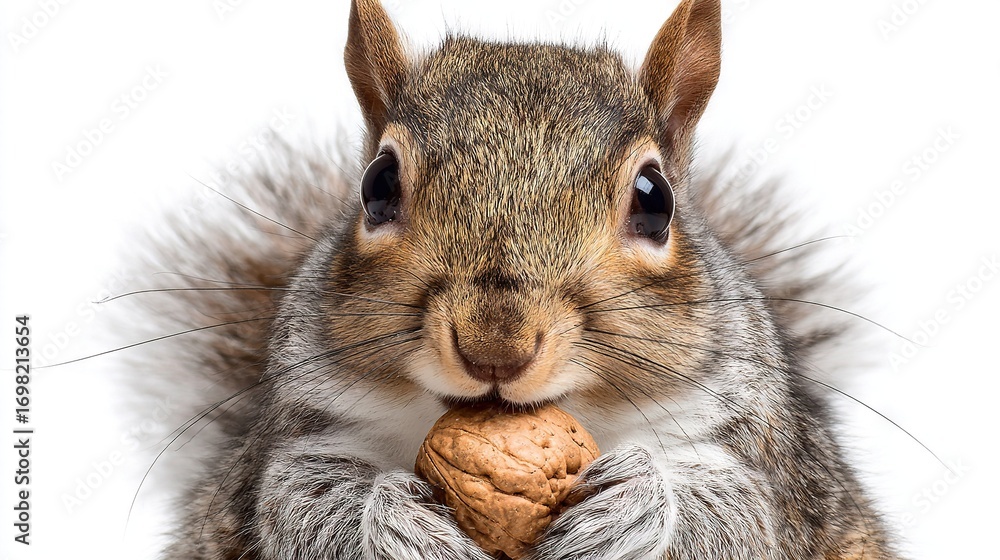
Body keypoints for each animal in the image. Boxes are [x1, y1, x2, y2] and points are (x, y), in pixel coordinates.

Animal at [124, 0, 901, 558]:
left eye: (654, 199)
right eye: (377, 186)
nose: (495, 348)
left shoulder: (766, 461)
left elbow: (737, 516)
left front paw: (643, 510)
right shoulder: (294, 435)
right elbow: (296, 503)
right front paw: (392, 524)